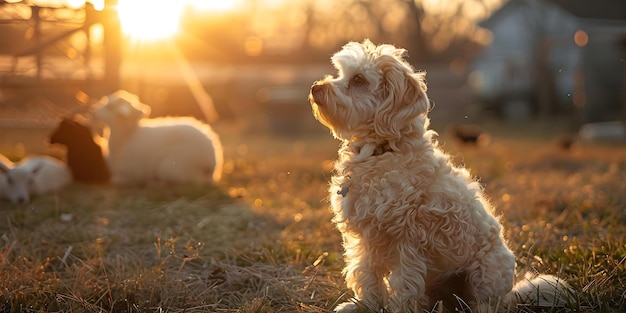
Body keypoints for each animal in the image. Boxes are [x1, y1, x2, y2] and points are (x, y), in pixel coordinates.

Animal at [90, 89, 222, 184]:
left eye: (110, 107)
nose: (93, 112)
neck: (127, 136)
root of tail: (211, 160)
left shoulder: (132, 174)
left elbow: (117, 180)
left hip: (172, 168)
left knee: (198, 181)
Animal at [308, 39, 572, 312]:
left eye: (359, 79)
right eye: (341, 73)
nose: (315, 88)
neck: (381, 151)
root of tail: (510, 294)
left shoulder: (407, 241)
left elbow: (404, 282)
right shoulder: (365, 239)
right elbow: (365, 274)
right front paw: (364, 306)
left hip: (486, 272)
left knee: (487, 302)